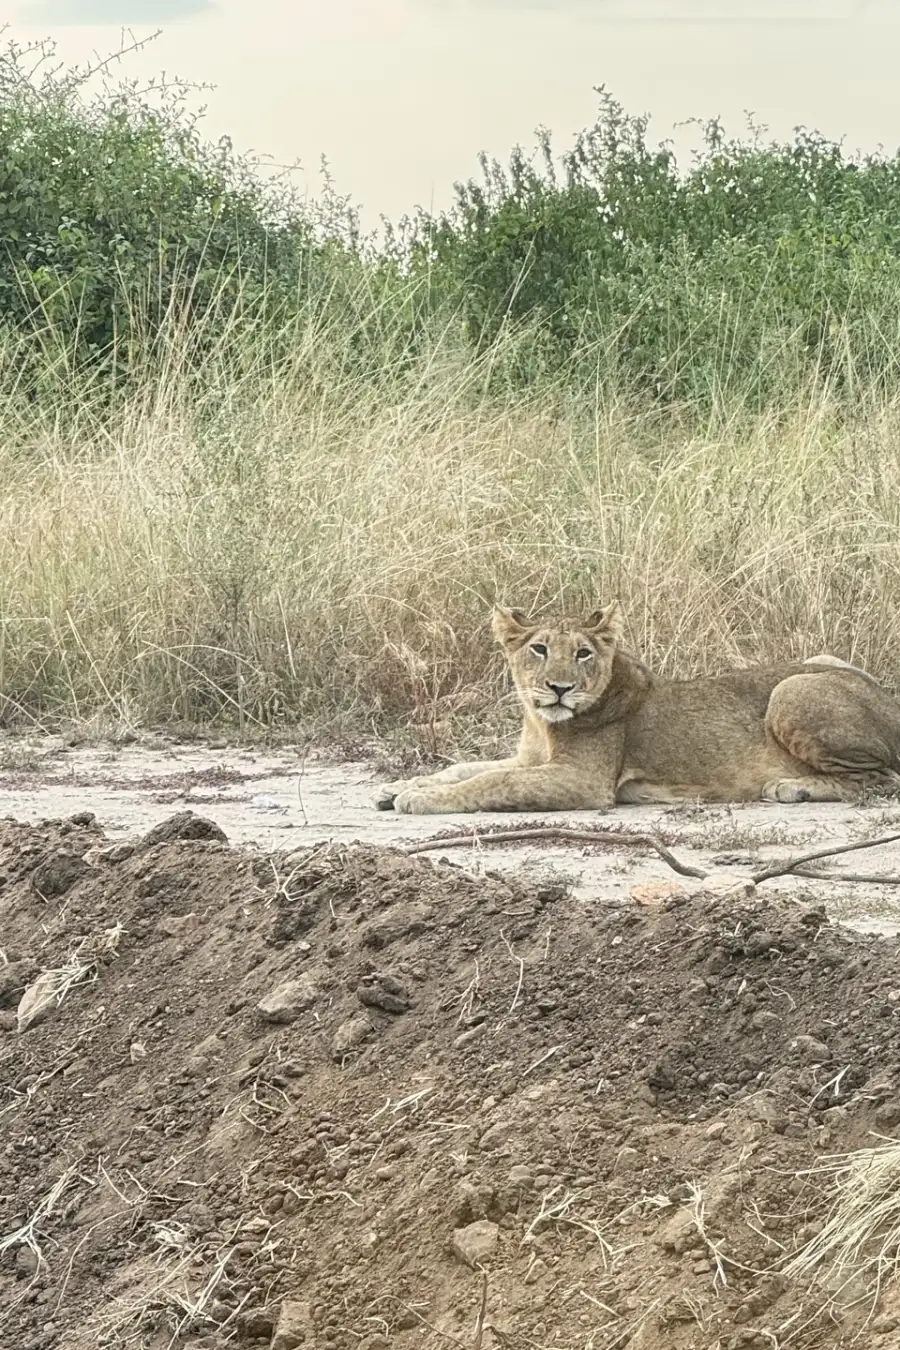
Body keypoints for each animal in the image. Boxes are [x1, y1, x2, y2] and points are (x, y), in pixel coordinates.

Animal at [375, 602, 900, 814]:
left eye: (583, 653)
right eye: (539, 649)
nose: (560, 688)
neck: (542, 723)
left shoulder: (583, 782)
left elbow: (492, 782)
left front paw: (419, 798)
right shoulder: (529, 758)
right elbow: (467, 767)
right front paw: (403, 785)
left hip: (791, 689)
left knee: (880, 780)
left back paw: (791, 788)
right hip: (822, 661)